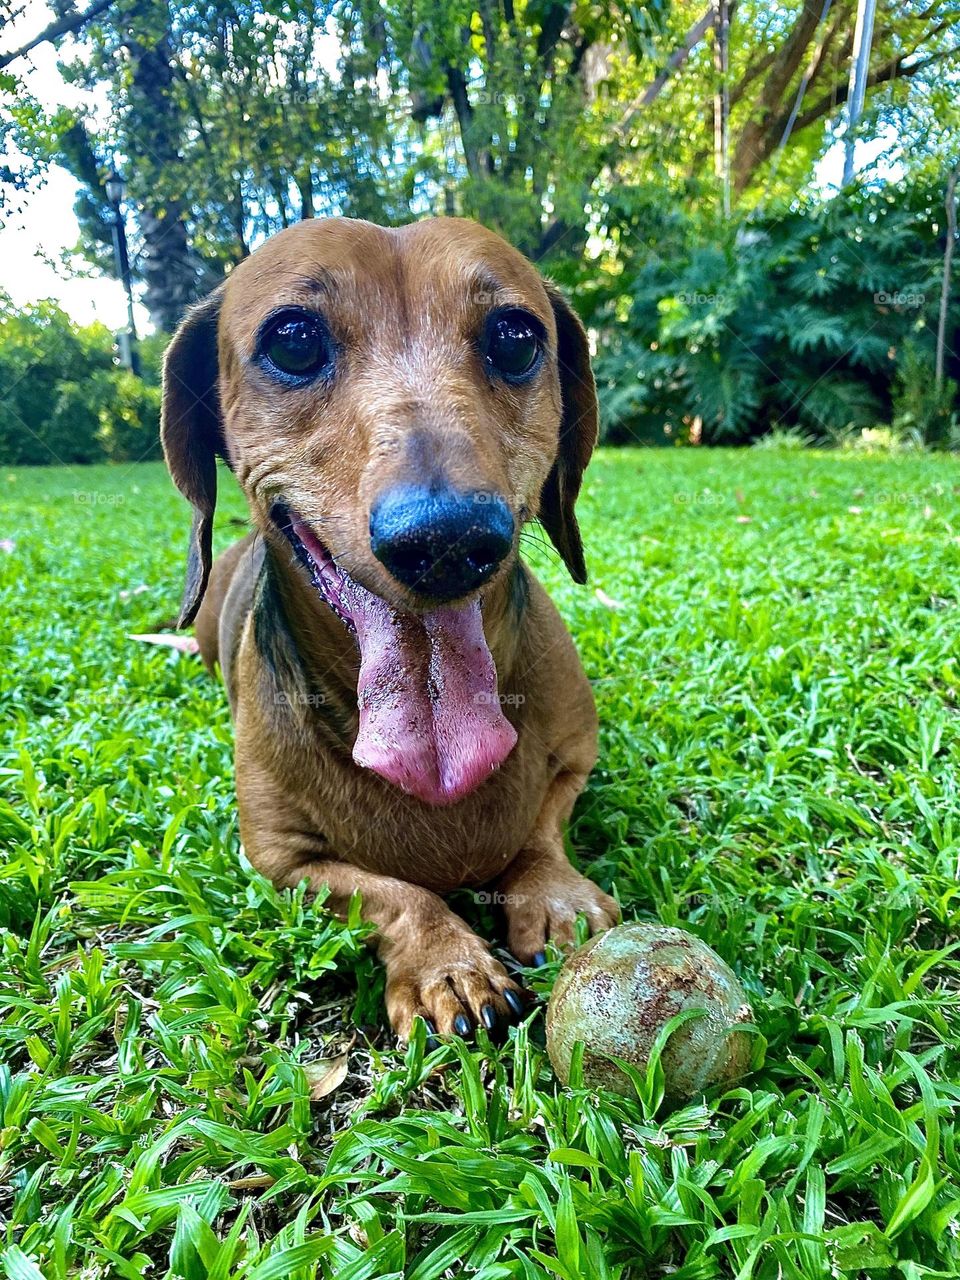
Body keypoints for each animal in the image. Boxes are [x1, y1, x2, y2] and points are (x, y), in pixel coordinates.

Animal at [161, 220, 619, 1039]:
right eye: (293, 342)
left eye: (514, 339)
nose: (447, 539)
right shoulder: (280, 862)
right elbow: (394, 894)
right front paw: (447, 961)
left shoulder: (576, 761)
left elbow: (541, 827)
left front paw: (552, 894)